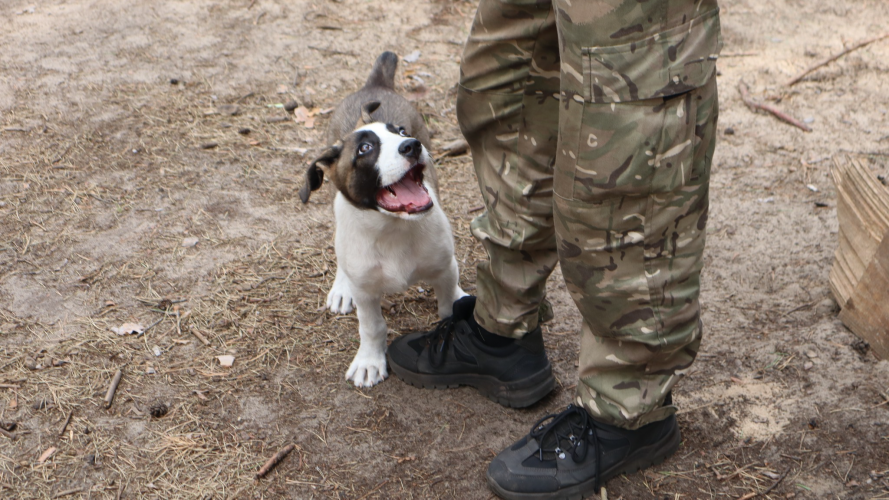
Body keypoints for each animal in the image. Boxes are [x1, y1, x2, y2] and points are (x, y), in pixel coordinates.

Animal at [298, 51, 464, 386]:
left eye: (400, 132)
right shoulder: (366, 292)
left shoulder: (444, 269)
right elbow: (372, 327)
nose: (411, 145)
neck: (393, 229)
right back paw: (342, 287)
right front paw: (369, 362)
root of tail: (374, 85)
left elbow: (448, 308)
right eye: (365, 148)